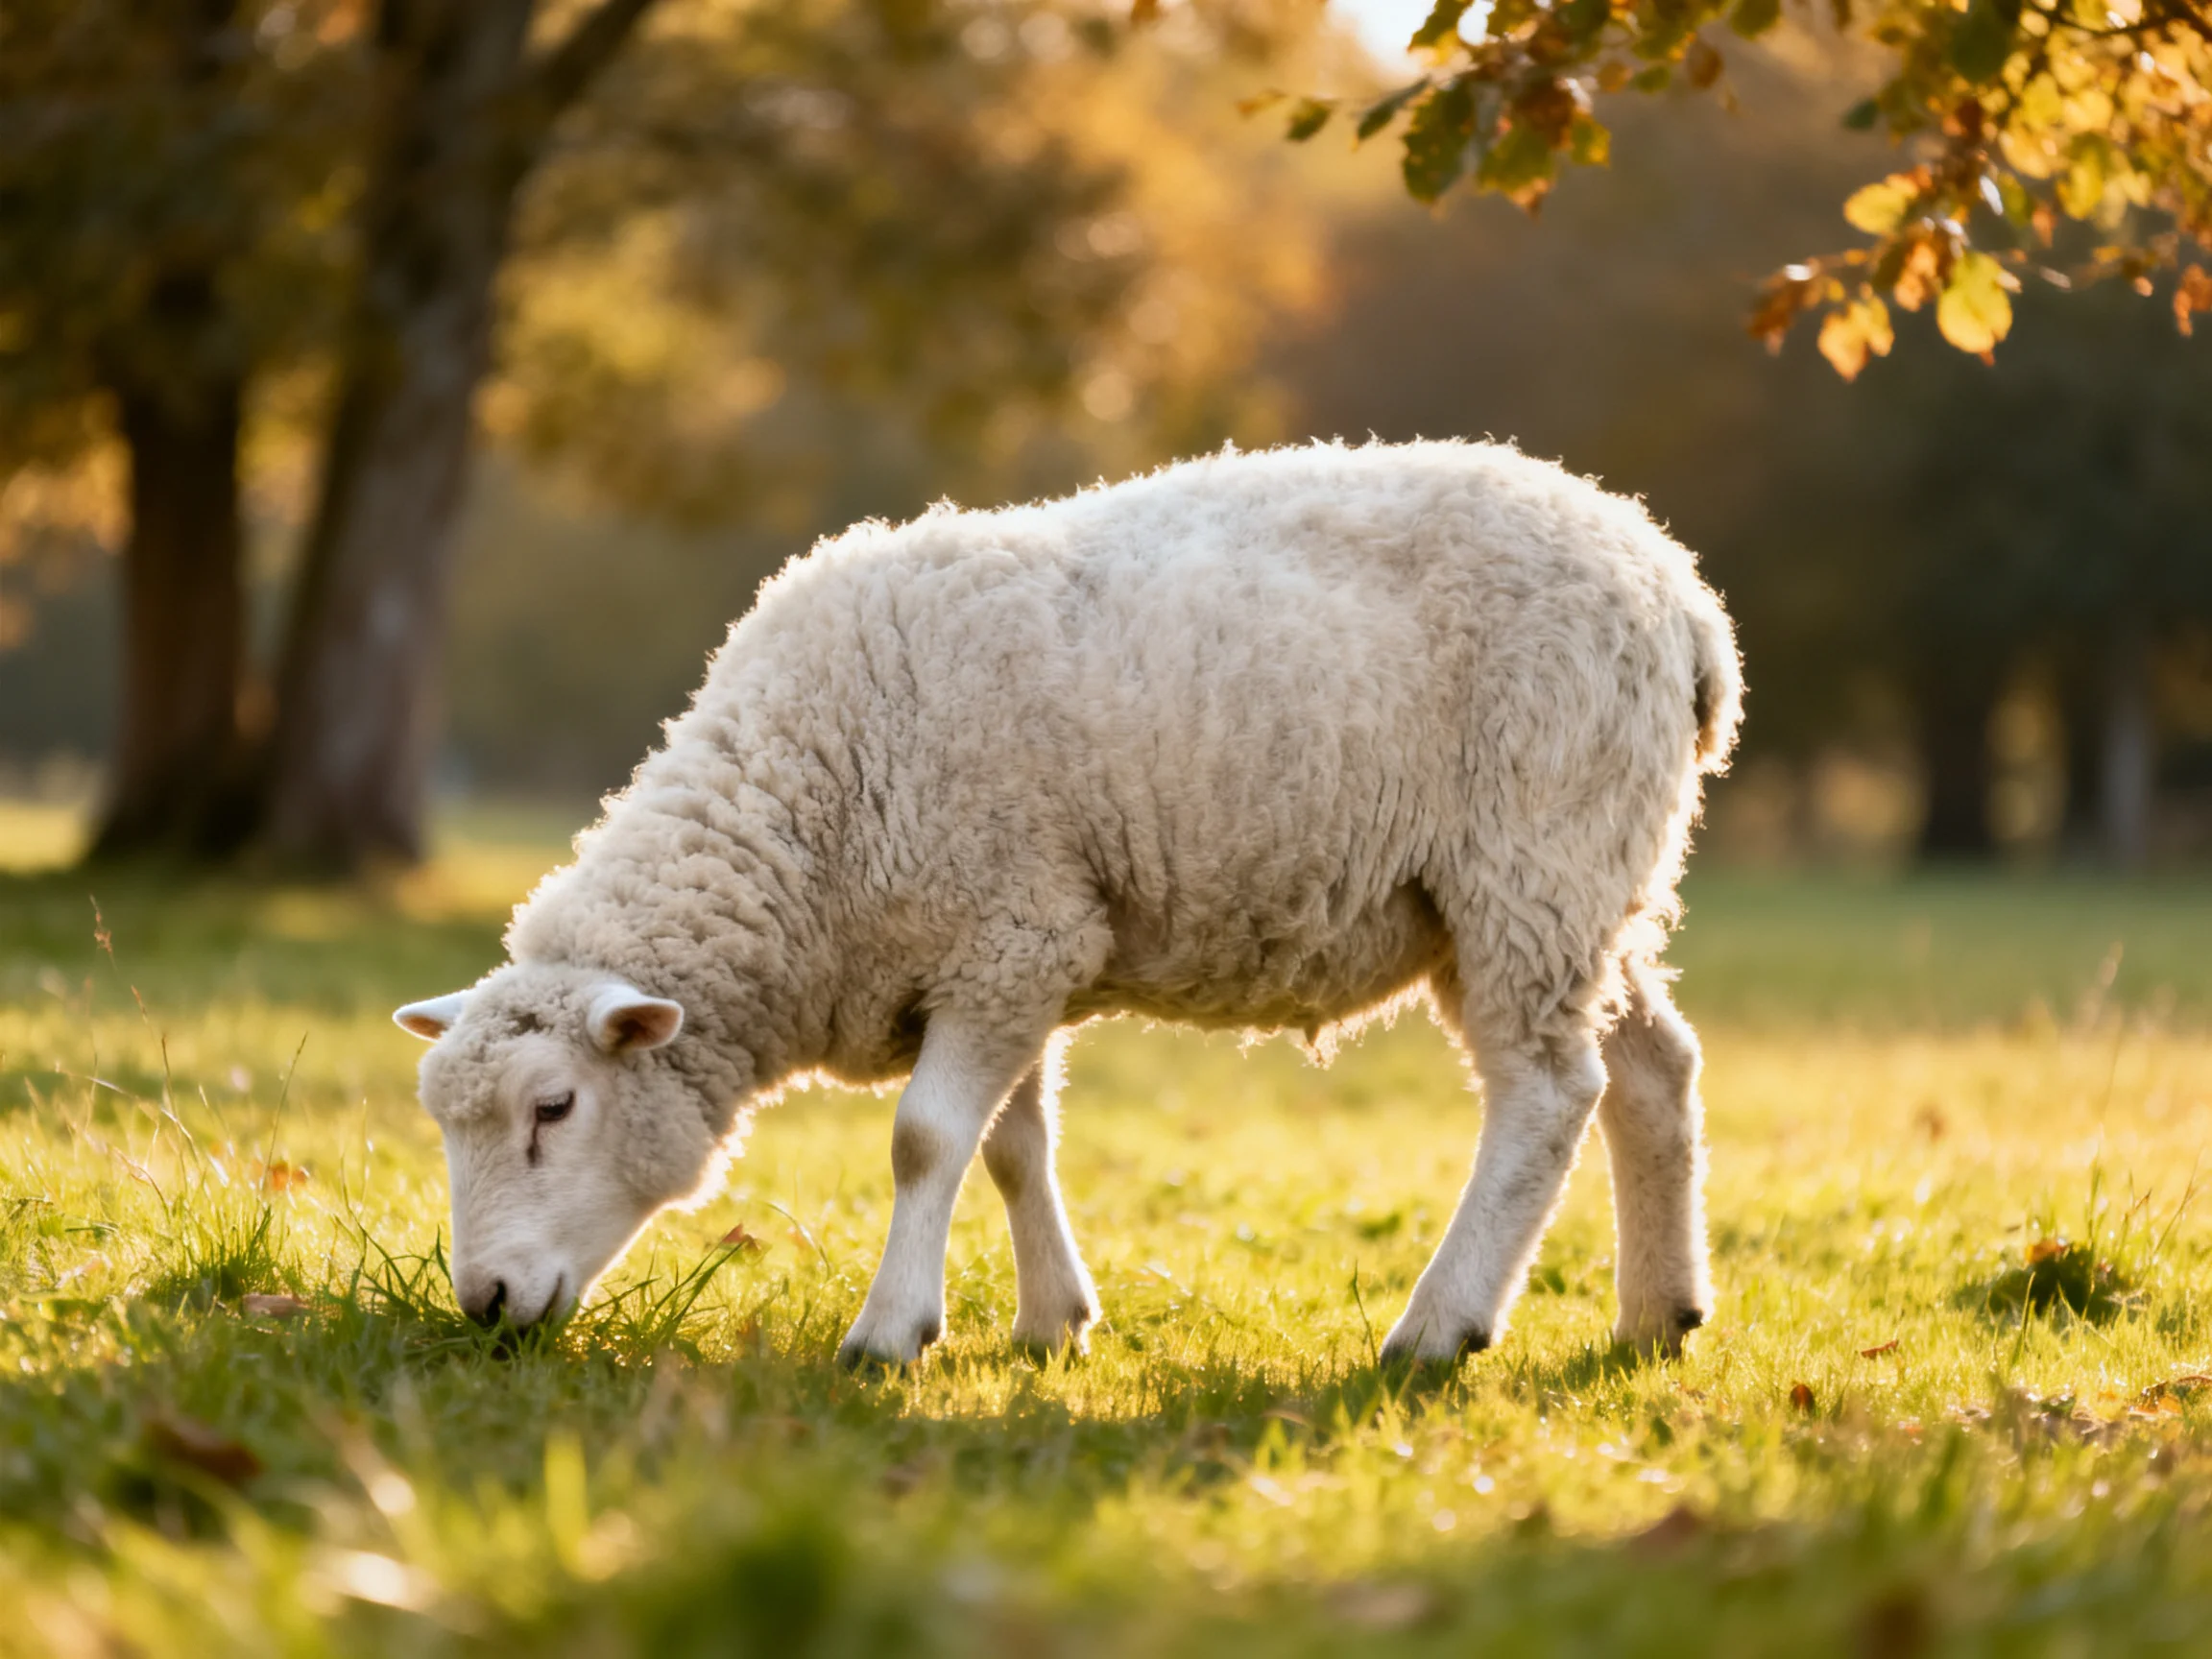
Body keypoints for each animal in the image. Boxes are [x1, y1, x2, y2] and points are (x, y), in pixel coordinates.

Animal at [394, 438, 1743, 1368]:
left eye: (553, 1109)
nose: (485, 1306)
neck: (805, 815)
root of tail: (1681, 593)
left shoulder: (1009, 931)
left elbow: (925, 1139)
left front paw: (889, 1335)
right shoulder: (1017, 949)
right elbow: (1008, 1143)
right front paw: (1054, 1321)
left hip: (1531, 857)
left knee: (1548, 1093)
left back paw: (1441, 1327)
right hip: (1587, 885)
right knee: (1655, 1067)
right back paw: (1659, 1314)